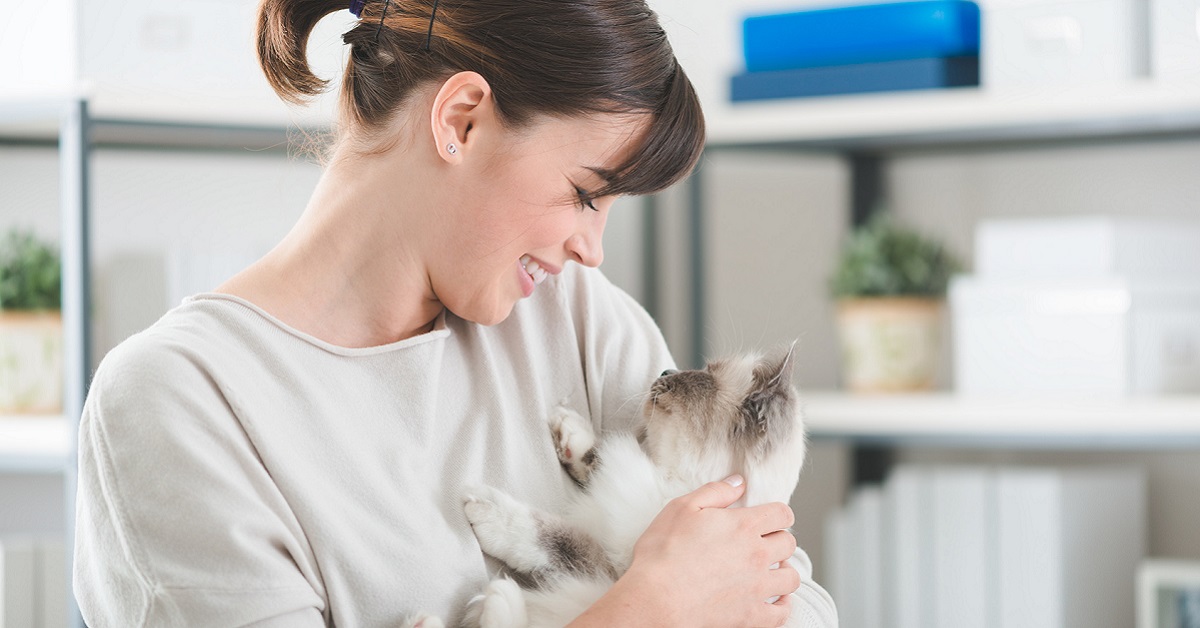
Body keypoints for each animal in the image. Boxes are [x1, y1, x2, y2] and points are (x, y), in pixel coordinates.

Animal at [408, 343, 811, 628]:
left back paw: (495, 600)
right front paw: (567, 429)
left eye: (704, 375)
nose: (665, 369)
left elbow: (552, 537)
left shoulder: (610, 571)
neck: (672, 484)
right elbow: (595, 461)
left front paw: (483, 509)